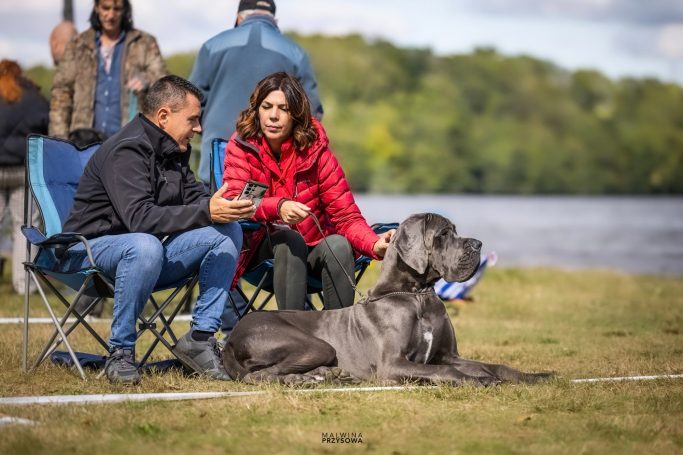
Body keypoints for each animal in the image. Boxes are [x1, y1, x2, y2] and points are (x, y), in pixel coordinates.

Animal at [224, 214, 552, 384]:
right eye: (444, 234)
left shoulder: (449, 354)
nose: (478, 244)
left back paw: (329, 374)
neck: (418, 295)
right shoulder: (393, 363)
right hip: (315, 343)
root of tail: (229, 339)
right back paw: (304, 379)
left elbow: (496, 366)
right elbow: (445, 370)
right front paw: (477, 379)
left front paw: (536, 375)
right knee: (259, 375)